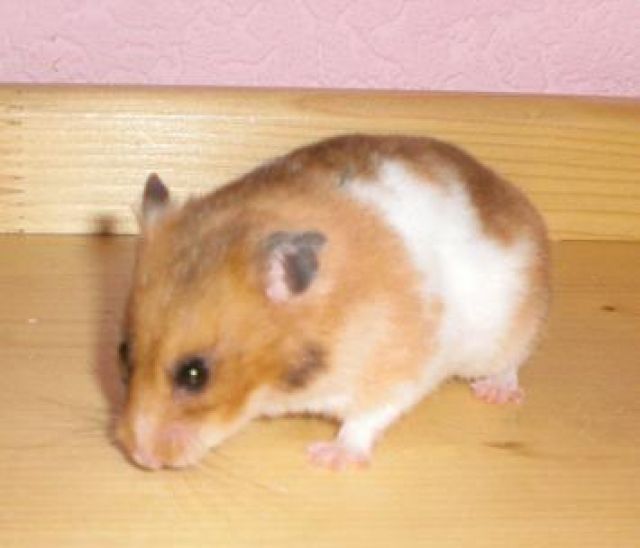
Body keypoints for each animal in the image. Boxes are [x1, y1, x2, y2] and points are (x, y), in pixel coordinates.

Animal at [116, 134, 550, 471]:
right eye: (123, 353)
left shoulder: (396, 368)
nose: (140, 458)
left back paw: (496, 393)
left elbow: (364, 420)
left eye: (195, 375)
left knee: (513, 361)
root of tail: (514, 197)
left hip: (506, 331)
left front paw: (327, 457)